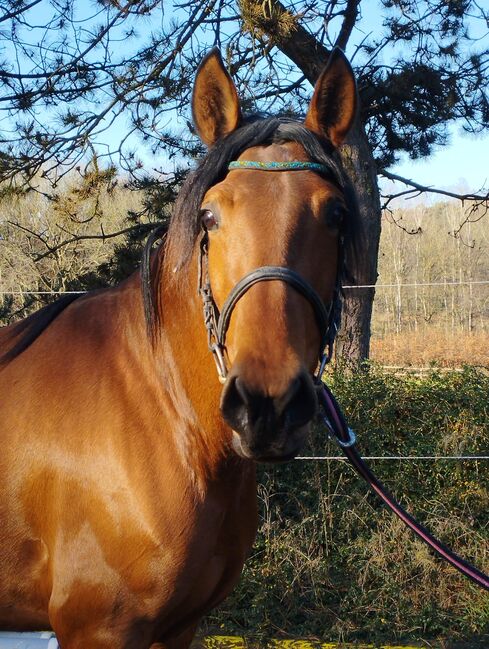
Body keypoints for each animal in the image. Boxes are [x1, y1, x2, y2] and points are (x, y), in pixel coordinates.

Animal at [0, 49, 358, 648]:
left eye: (334, 215)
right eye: (211, 215)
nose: (268, 405)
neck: (168, 418)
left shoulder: (180, 627)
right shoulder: (98, 630)